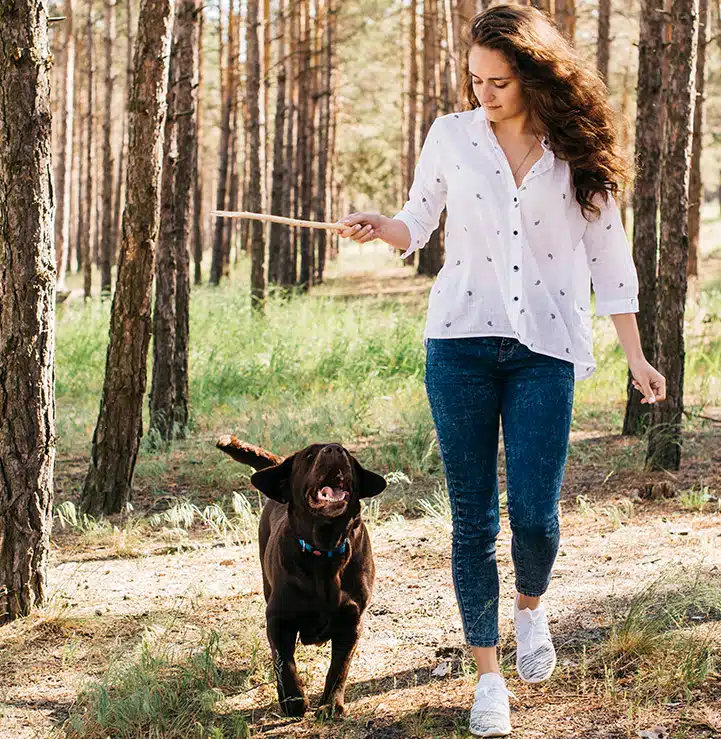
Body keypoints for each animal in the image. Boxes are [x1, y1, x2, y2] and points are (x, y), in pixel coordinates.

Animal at [217, 436, 386, 720]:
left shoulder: (351, 621)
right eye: (308, 455)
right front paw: (294, 701)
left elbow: (339, 668)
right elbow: (285, 663)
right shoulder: (278, 618)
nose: (335, 450)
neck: (325, 551)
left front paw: (330, 705)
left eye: (347, 454)